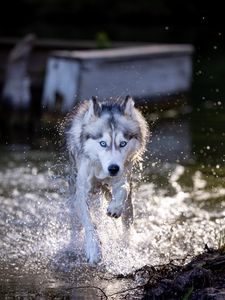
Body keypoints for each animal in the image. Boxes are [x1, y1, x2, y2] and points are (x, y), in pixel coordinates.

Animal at [64, 95, 149, 264]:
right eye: (103, 143)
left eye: (123, 143)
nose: (113, 168)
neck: (101, 170)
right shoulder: (82, 193)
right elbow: (89, 223)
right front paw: (94, 249)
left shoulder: (122, 178)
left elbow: (123, 189)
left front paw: (115, 208)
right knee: (76, 224)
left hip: (127, 205)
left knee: (127, 222)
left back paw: (126, 244)